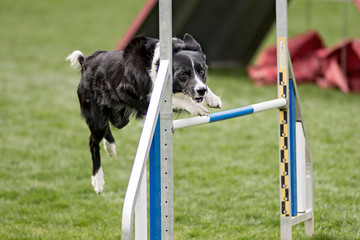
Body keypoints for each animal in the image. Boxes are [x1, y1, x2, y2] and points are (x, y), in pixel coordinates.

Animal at [66, 33, 221, 193]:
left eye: (201, 71)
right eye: (183, 74)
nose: (201, 90)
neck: (157, 62)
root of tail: (86, 62)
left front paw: (213, 97)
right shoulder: (137, 94)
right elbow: (173, 98)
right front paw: (196, 107)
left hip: (120, 118)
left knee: (108, 127)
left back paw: (110, 147)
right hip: (97, 116)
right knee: (93, 141)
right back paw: (98, 180)